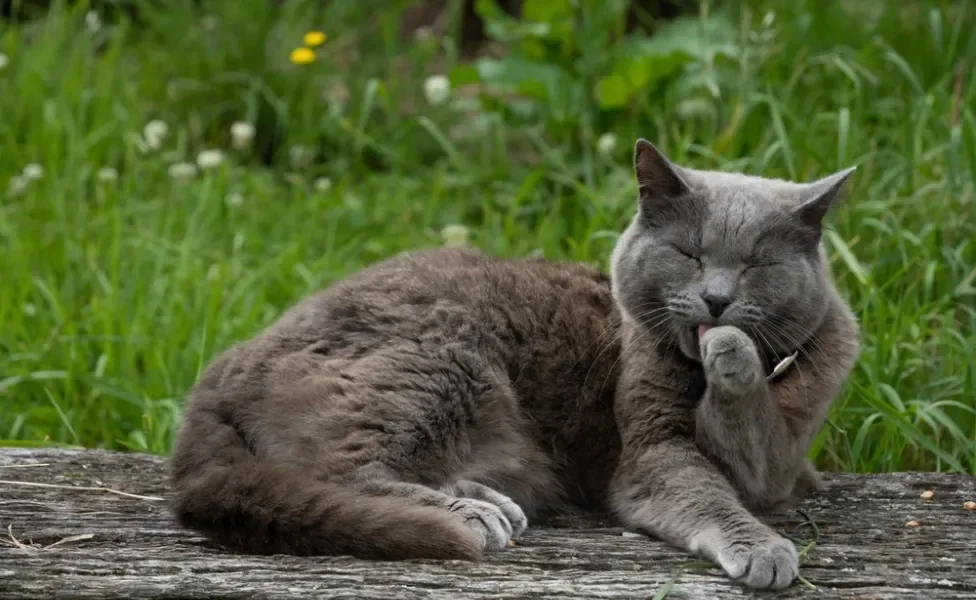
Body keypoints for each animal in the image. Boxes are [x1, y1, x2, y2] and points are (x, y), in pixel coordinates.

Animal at [172, 139, 856, 592]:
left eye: (757, 265)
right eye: (688, 254)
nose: (716, 300)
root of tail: (220, 372)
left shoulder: (782, 460)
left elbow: (761, 454)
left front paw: (733, 354)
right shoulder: (650, 451)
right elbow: (708, 491)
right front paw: (764, 547)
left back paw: (488, 499)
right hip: (442, 361)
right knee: (334, 470)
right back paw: (472, 514)